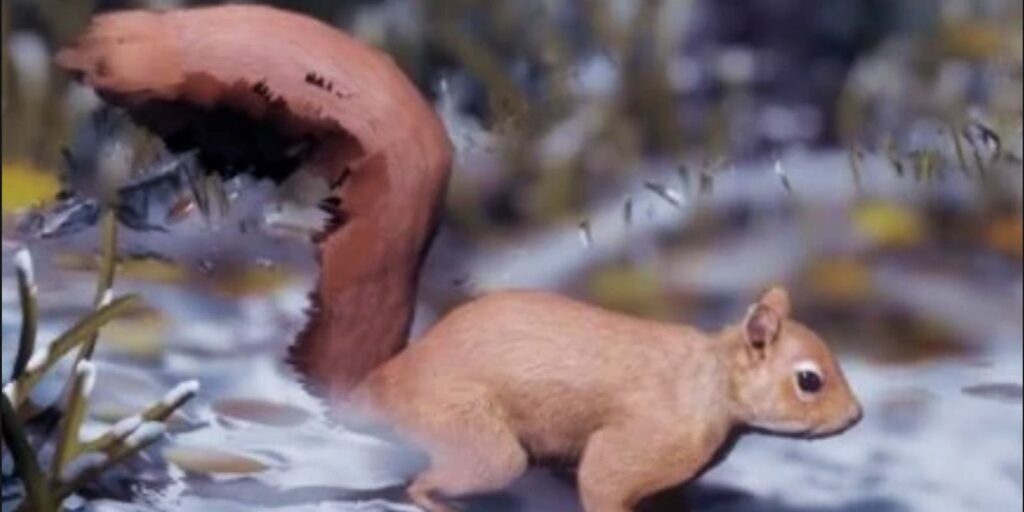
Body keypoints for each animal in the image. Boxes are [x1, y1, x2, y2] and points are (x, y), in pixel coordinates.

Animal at [351, 287, 862, 512]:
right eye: (809, 381)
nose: (856, 416)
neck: (710, 383)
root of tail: (375, 388)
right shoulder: (635, 447)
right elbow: (603, 485)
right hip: (488, 452)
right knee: (419, 486)